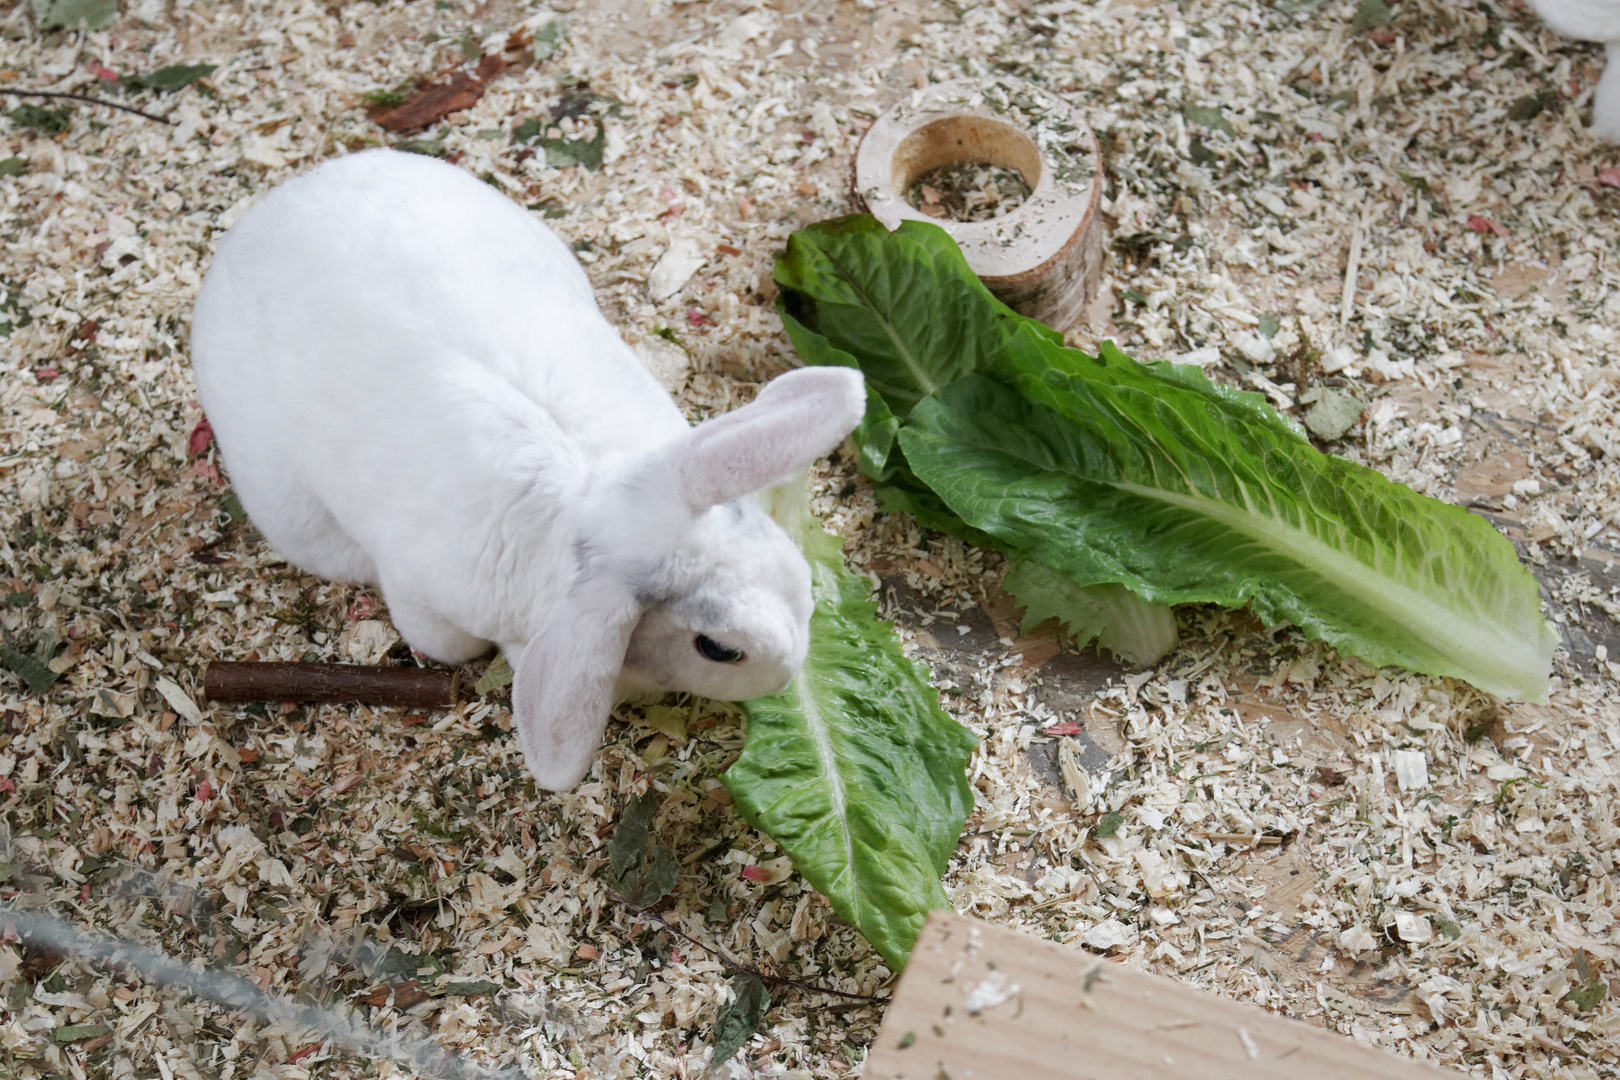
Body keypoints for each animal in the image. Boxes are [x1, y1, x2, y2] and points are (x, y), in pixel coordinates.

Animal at [187, 152, 861, 790]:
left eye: (789, 563)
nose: (791, 670)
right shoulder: (420, 598)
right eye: (719, 649)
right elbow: (447, 643)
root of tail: (271, 209)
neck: (589, 505)